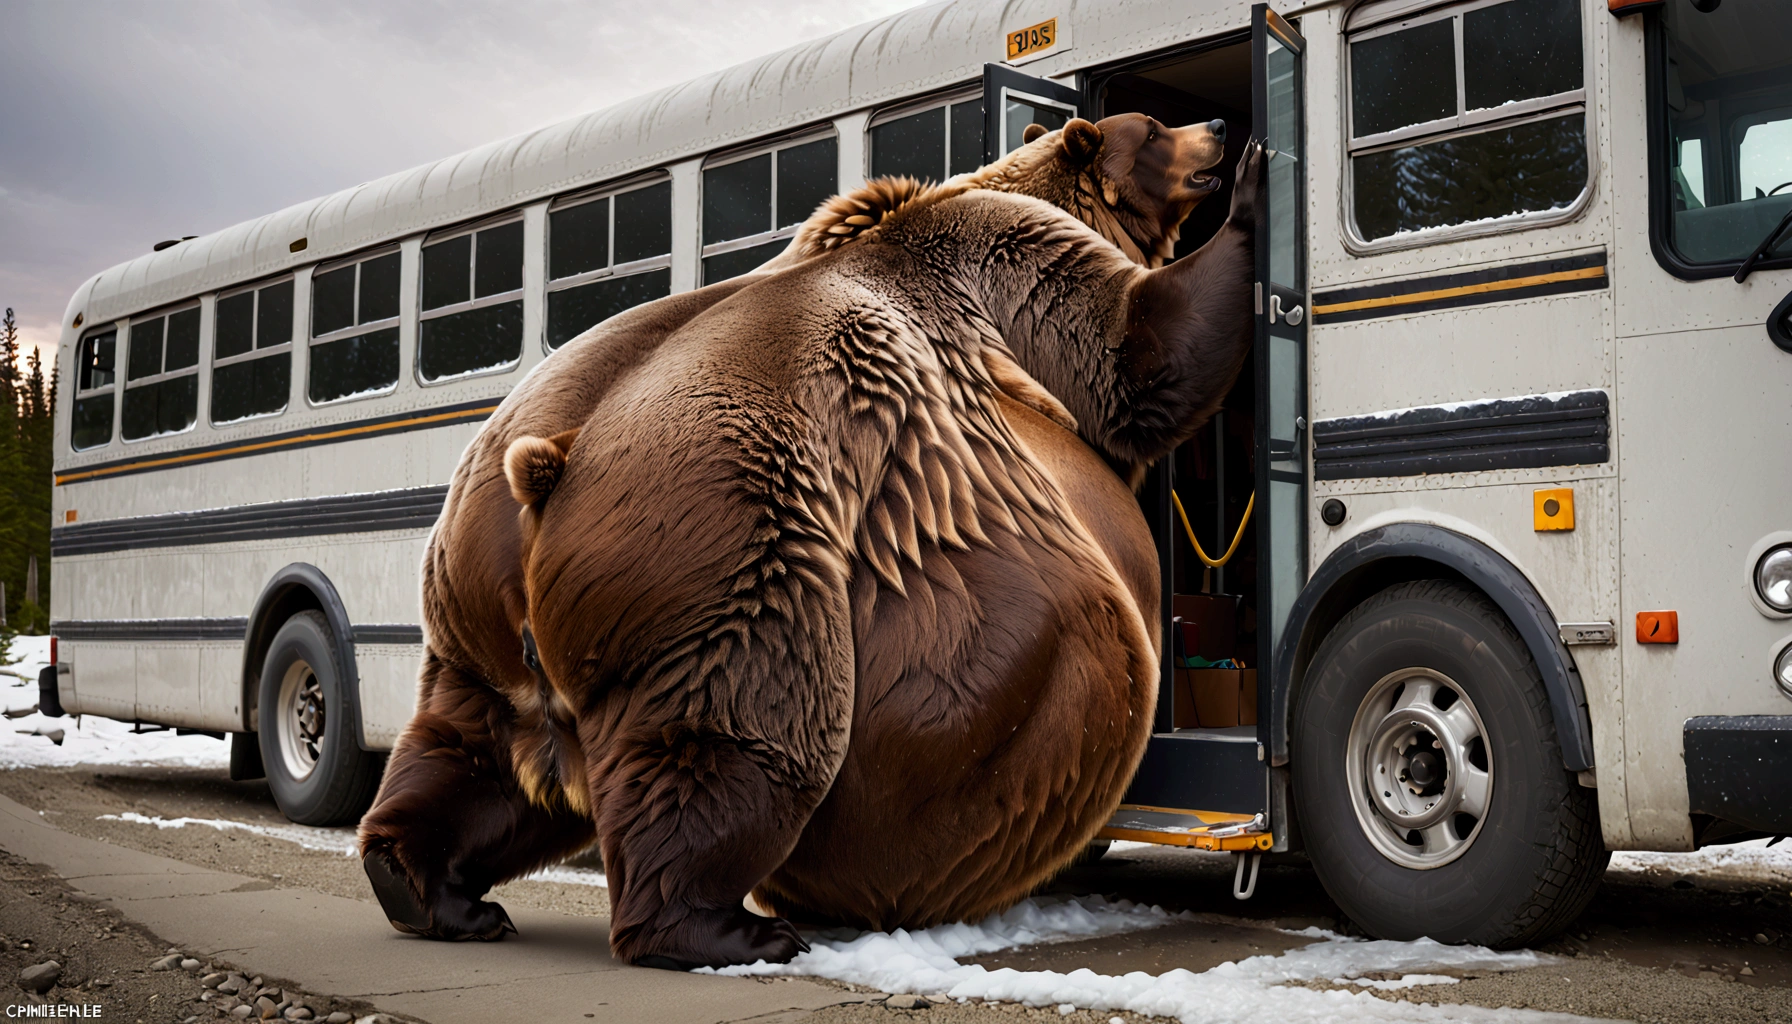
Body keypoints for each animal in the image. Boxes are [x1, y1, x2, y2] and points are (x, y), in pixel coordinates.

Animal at [353, 120, 1261, 968]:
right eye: (1154, 130)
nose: (1217, 130)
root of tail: (545, 475)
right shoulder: (1015, 280)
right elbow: (1140, 352)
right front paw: (1253, 198)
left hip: (471, 609)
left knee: (471, 756)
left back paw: (431, 889)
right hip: (729, 547)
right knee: (734, 738)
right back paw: (730, 928)